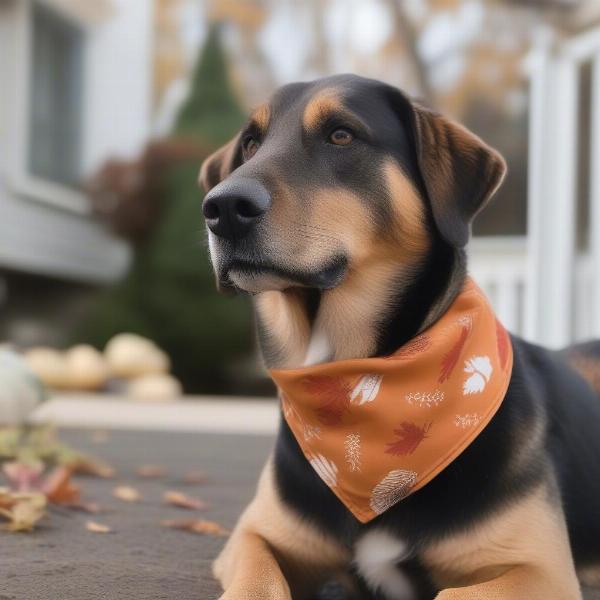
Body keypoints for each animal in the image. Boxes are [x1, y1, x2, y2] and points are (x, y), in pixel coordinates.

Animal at [199, 75, 600, 600]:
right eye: (250, 143)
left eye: (341, 135)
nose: (222, 207)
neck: (356, 383)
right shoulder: (254, 537)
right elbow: (257, 582)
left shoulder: (542, 572)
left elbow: (452, 593)